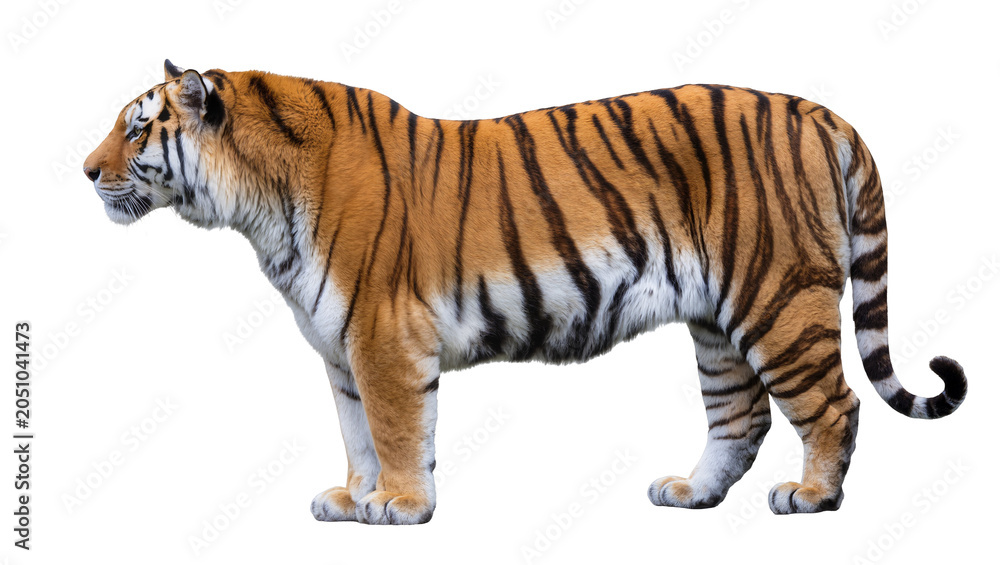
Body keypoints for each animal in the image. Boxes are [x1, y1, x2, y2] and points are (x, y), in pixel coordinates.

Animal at [82, 60, 967, 525]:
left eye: (137, 128)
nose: (86, 171)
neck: (258, 205)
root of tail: (819, 111)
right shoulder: (341, 350)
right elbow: (358, 432)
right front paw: (352, 497)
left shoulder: (381, 336)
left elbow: (396, 429)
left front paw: (400, 505)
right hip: (718, 320)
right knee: (739, 416)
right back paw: (690, 492)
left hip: (778, 295)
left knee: (832, 402)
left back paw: (813, 494)